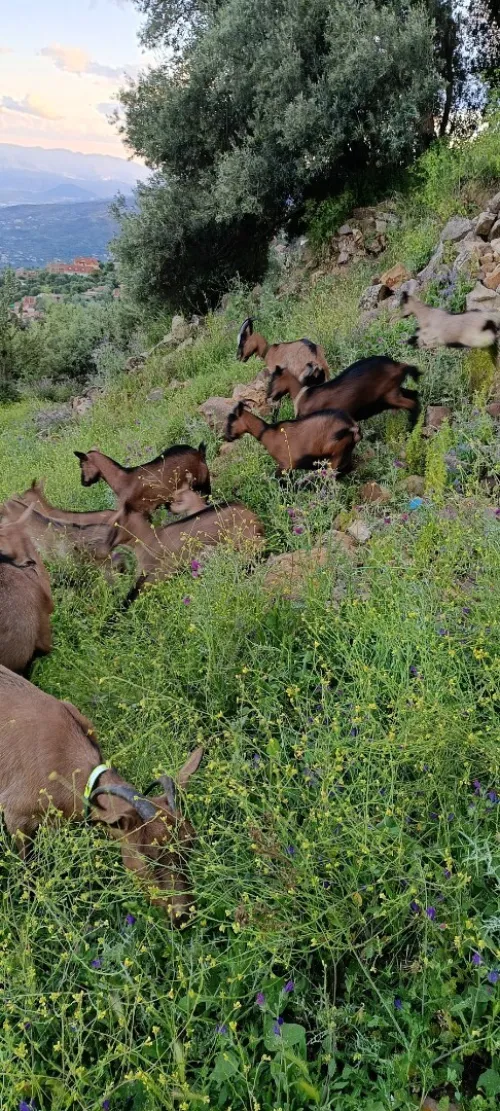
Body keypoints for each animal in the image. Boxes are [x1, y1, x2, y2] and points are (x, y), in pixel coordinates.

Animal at [74, 444, 211, 515]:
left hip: (201, 483)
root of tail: (198, 453)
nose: (83, 482)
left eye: (81, 465)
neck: (123, 480)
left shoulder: (142, 511)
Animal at [107, 496, 264, 602]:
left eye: (115, 524)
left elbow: (132, 595)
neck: (150, 538)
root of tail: (249, 512)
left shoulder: (158, 573)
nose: (108, 544)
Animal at [225, 402, 360, 476]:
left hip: (335, 456)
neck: (267, 432)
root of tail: (351, 426)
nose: (226, 437)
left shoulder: (285, 465)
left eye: (231, 420)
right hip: (345, 454)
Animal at [267, 356, 422, 428]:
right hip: (395, 392)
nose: (269, 396)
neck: (304, 396)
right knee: (415, 395)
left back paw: (411, 428)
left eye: (272, 379)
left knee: (412, 404)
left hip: (390, 395)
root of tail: (398, 366)